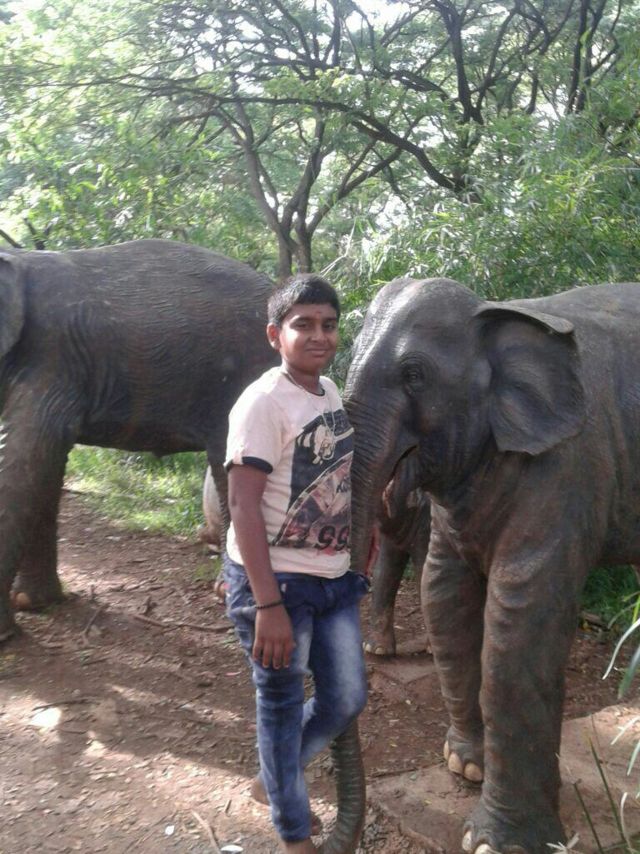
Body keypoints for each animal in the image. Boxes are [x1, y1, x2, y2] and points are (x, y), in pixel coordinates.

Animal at [343, 276, 640, 854]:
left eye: (415, 375)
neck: (497, 312)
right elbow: (444, 593)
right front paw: (464, 767)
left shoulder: (567, 465)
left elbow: (520, 623)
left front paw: (495, 843)